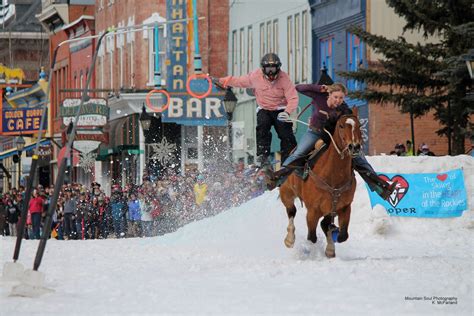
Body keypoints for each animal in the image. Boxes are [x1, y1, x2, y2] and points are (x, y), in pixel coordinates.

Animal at [280, 113, 362, 256]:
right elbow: (312, 237)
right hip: (286, 192)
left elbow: (343, 235)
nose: (354, 146)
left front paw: (331, 246)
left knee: (324, 223)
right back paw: (289, 239)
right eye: (341, 126)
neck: (333, 176)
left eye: (359, 125)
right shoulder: (312, 211)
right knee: (291, 211)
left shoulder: (345, 207)